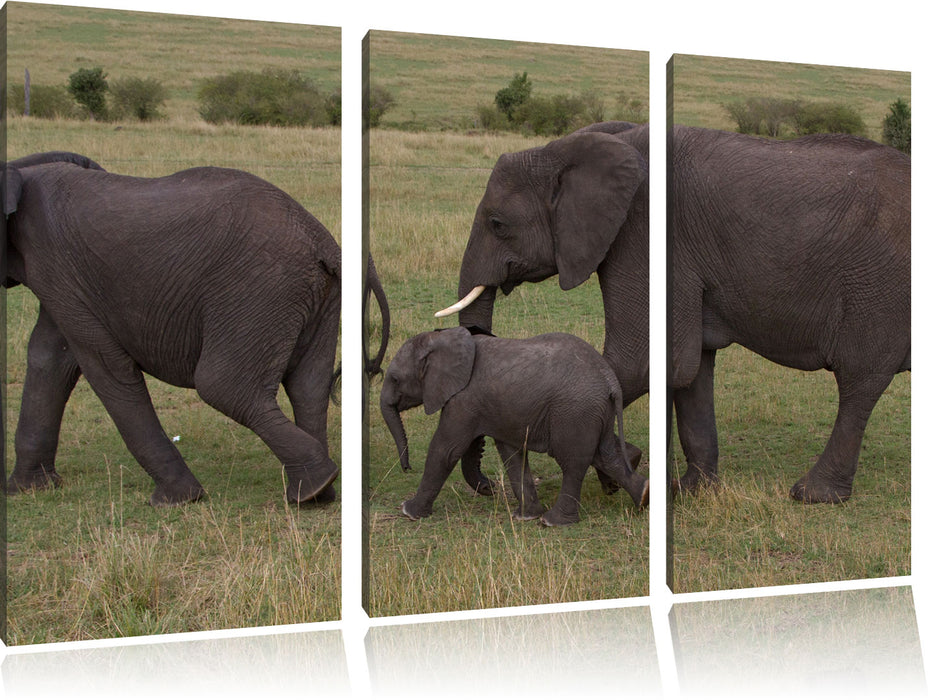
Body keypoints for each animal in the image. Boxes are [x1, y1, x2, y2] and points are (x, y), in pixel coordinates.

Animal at [3, 150, 388, 506]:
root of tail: (323, 240)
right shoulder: (56, 279)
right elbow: (49, 359)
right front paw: (26, 489)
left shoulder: (57, 268)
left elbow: (103, 366)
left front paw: (178, 500)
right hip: (314, 296)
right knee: (308, 387)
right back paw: (317, 493)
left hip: (257, 290)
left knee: (223, 387)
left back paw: (313, 485)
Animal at [380, 328, 652, 524]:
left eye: (395, 379)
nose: (406, 468)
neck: (440, 338)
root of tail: (609, 379)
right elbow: (512, 455)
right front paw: (526, 516)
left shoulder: (463, 400)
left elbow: (445, 450)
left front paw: (408, 512)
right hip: (595, 411)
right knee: (606, 455)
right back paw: (643, 497)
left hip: (575, 411)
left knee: (573, 462)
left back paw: (553, 522)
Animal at [436, 120, 908, 504]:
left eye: (498, 224)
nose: (489, 488)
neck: (572, 148)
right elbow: (689, 367)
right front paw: (687, 491)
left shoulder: (645, 236)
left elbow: (639, 363)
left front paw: (628, 470)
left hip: (878, 288)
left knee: (859, 381)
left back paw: (813, 495)